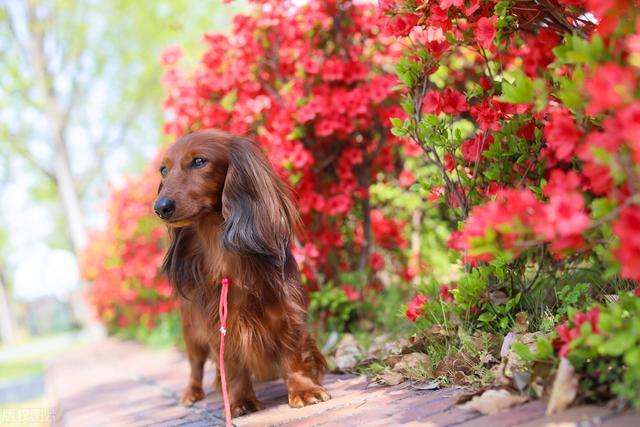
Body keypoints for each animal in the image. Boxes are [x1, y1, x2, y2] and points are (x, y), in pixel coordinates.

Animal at [152, 129, 328, 416]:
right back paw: (192, 392)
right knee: (195, 365)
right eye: (164, 169)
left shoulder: (285, 309)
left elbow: (291, 353)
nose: (160, 207)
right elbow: (231, 365)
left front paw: (303, 389)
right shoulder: (216, 322)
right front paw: (239, 400)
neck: (221, 250)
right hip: (191, 330)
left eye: (199, 161)